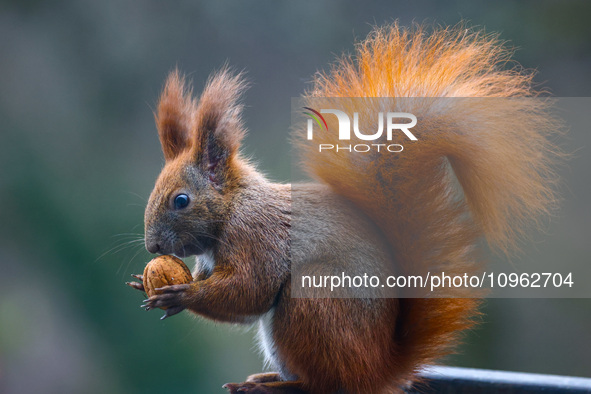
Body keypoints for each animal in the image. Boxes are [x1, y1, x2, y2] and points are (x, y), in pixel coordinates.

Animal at [128, 23, 560, 394]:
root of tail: (377, 369)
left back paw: (275, 385)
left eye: (181, 200)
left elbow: (250, 292)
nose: (153, 247)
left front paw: (180, 295)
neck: (234, 206)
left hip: (314, 300)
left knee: (324, 384)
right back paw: (268, 378)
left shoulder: (258, 237)